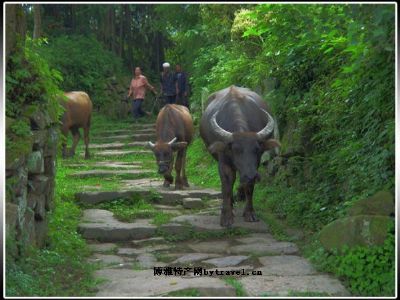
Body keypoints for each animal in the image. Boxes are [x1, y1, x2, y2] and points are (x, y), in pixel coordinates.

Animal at [199, 85, 280, 226]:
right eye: (236, 150)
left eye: (257, 150)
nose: (251, 176)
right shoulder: (224, 161)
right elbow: (227, 185)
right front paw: (226, 216)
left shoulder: (255, 165)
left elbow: (249, 187)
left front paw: (250, 213)